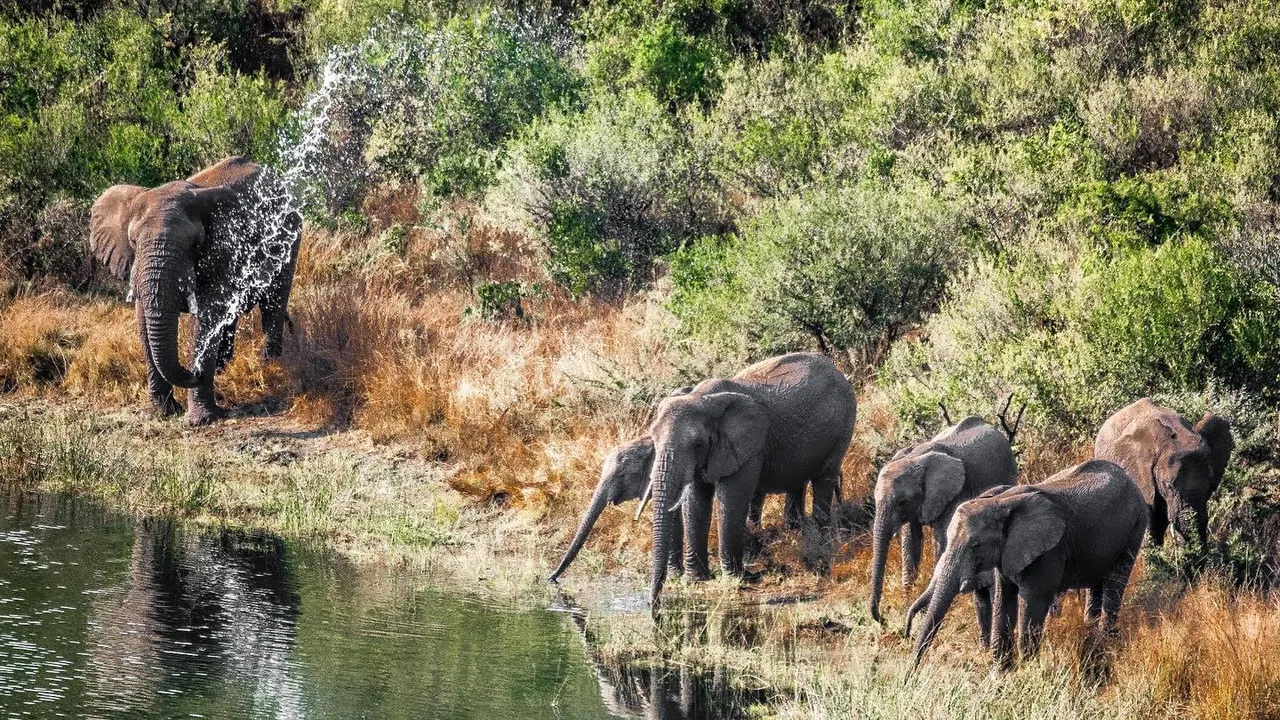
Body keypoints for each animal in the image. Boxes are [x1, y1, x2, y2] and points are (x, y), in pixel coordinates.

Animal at [89, 156, 302, 425]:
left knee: (273, 305)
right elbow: (143, 323)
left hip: (290, 236)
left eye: (195, 244)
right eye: (134, 242)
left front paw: (201, 420)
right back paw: (223, 368)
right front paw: (160, 413)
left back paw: (269, 367)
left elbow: (207, 318)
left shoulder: (225, 248)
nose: (195, 372)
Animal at [645, 352, 857, 608]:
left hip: (844, 423)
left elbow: (731, 500)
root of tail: (836, 369)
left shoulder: (748, 447)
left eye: (697, 443)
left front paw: (734, 579)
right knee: (798, 482)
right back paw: (796, 532)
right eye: (653, 438)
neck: (702, 398)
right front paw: (696, 580)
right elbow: (696, 502)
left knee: (824, 480)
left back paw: (821, 546)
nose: (653, 606)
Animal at [868, 416, 1017, 627]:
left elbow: (941, 539)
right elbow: (911, 540)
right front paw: (908, 597)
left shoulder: (954, 493)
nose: (882, 618)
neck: (915, 458)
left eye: (902, 501)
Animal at [911, 459, 1148, 668]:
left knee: (1115, 583)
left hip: (1135, 526)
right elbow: (1003, 600)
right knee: (1096, 584)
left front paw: (1027, 671)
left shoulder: (1049, 551)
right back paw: (1091, 633)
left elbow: (1032, 603)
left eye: (975, 546)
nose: (911, 672)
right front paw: (1001, 673)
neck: (1000, 502)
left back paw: (1103, 642)